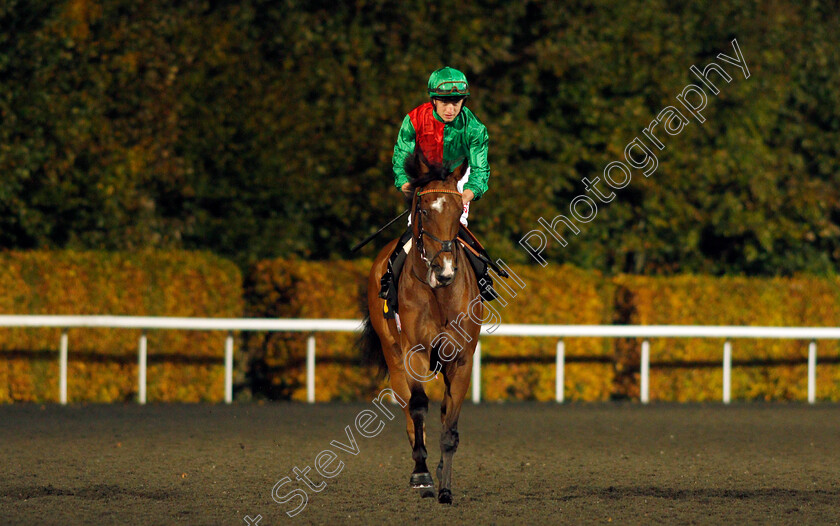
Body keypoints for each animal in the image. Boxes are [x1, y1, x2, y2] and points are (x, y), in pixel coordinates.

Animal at [360, 153, 480, 508]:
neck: (439, 296)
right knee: (406, 404)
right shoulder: (414, 352)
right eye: (424, 210)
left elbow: (450, 424)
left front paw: (446, 488)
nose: (445, 270)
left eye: (457, 211)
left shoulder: (462, 358)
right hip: (393, 353)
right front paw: (422, 473)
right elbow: (417, 406)